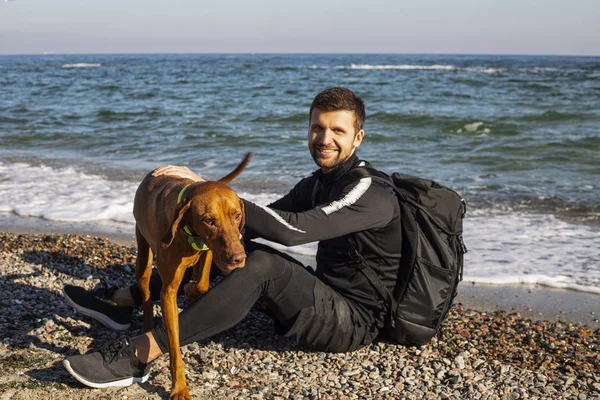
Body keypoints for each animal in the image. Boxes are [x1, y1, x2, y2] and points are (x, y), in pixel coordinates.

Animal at [134, 152, 251, 398]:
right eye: (209, 220)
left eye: (236, 216)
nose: (238, 258)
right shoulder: (168, 291)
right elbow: (174, 347)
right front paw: (179, 387)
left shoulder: (210, 249)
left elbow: (203, 283)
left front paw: (192, 291)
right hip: (143, 256)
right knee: (146, 291)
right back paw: (147, 324)